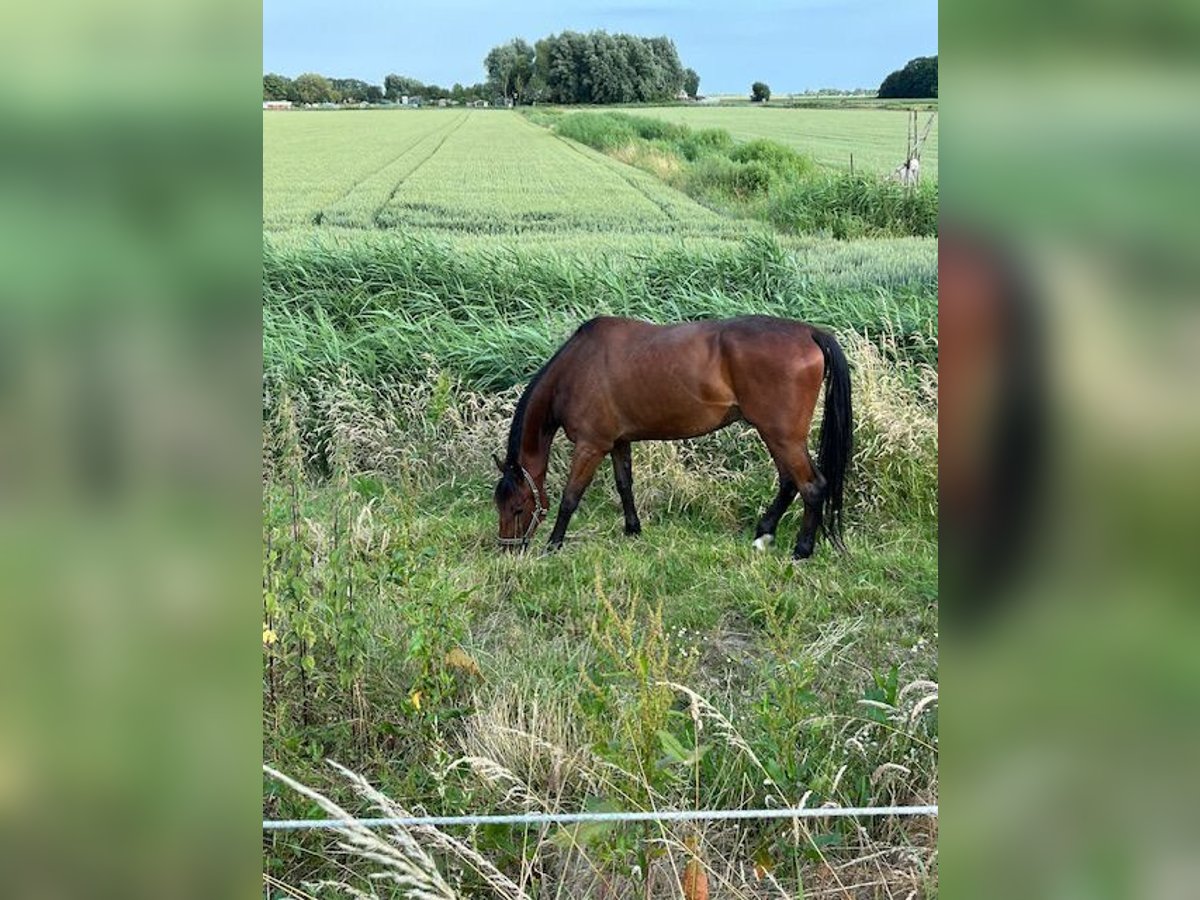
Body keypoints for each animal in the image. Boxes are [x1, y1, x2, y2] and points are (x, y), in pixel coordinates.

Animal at [489, 314, 854, 556]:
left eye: (518, 508)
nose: (508, 549)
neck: (577, 368)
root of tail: (809, 332)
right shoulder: (618, 441)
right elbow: (624, 485)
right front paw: (633, 529)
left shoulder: (592, 445)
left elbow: (570, 496)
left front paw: (553, 544)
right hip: (778, 436)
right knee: (790, 482)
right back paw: (764, 535)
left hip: (782, 436)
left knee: (812, 486)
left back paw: (802, 550)